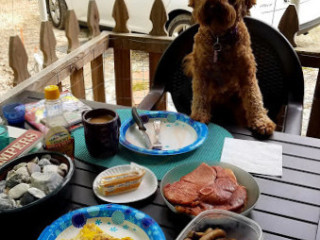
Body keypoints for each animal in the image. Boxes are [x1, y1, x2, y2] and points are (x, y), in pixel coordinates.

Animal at [184, 0, 276, 136]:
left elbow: (254, 96)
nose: (213, 2)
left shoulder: (247, 72)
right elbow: (200, 95)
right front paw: (199, 116)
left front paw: (261, 121)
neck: (219, 38)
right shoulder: (201, 72)